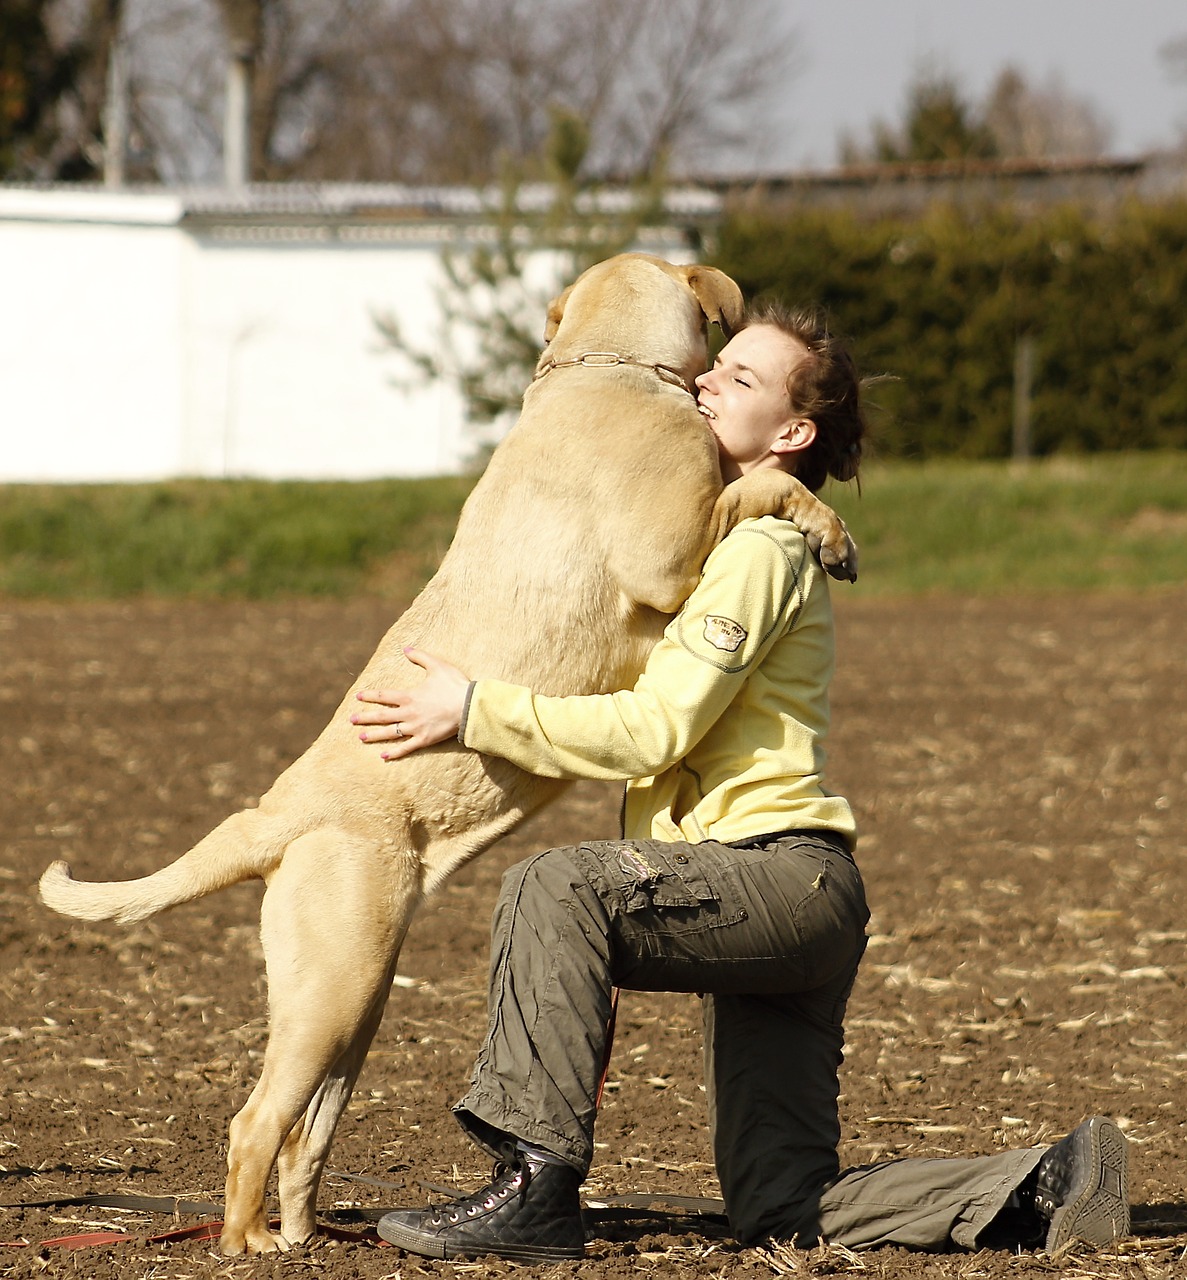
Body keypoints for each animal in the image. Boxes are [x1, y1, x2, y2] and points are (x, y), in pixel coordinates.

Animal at [37, 254, 855, 1254]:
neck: (607, 367)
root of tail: (272, 813)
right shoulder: (674, 559)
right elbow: (761, 491)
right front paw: (830, 531)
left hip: (355, 995)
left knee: (305, 1134)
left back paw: (304, 1237)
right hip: (333, 992)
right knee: (254, 1122)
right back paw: (247, 1245)